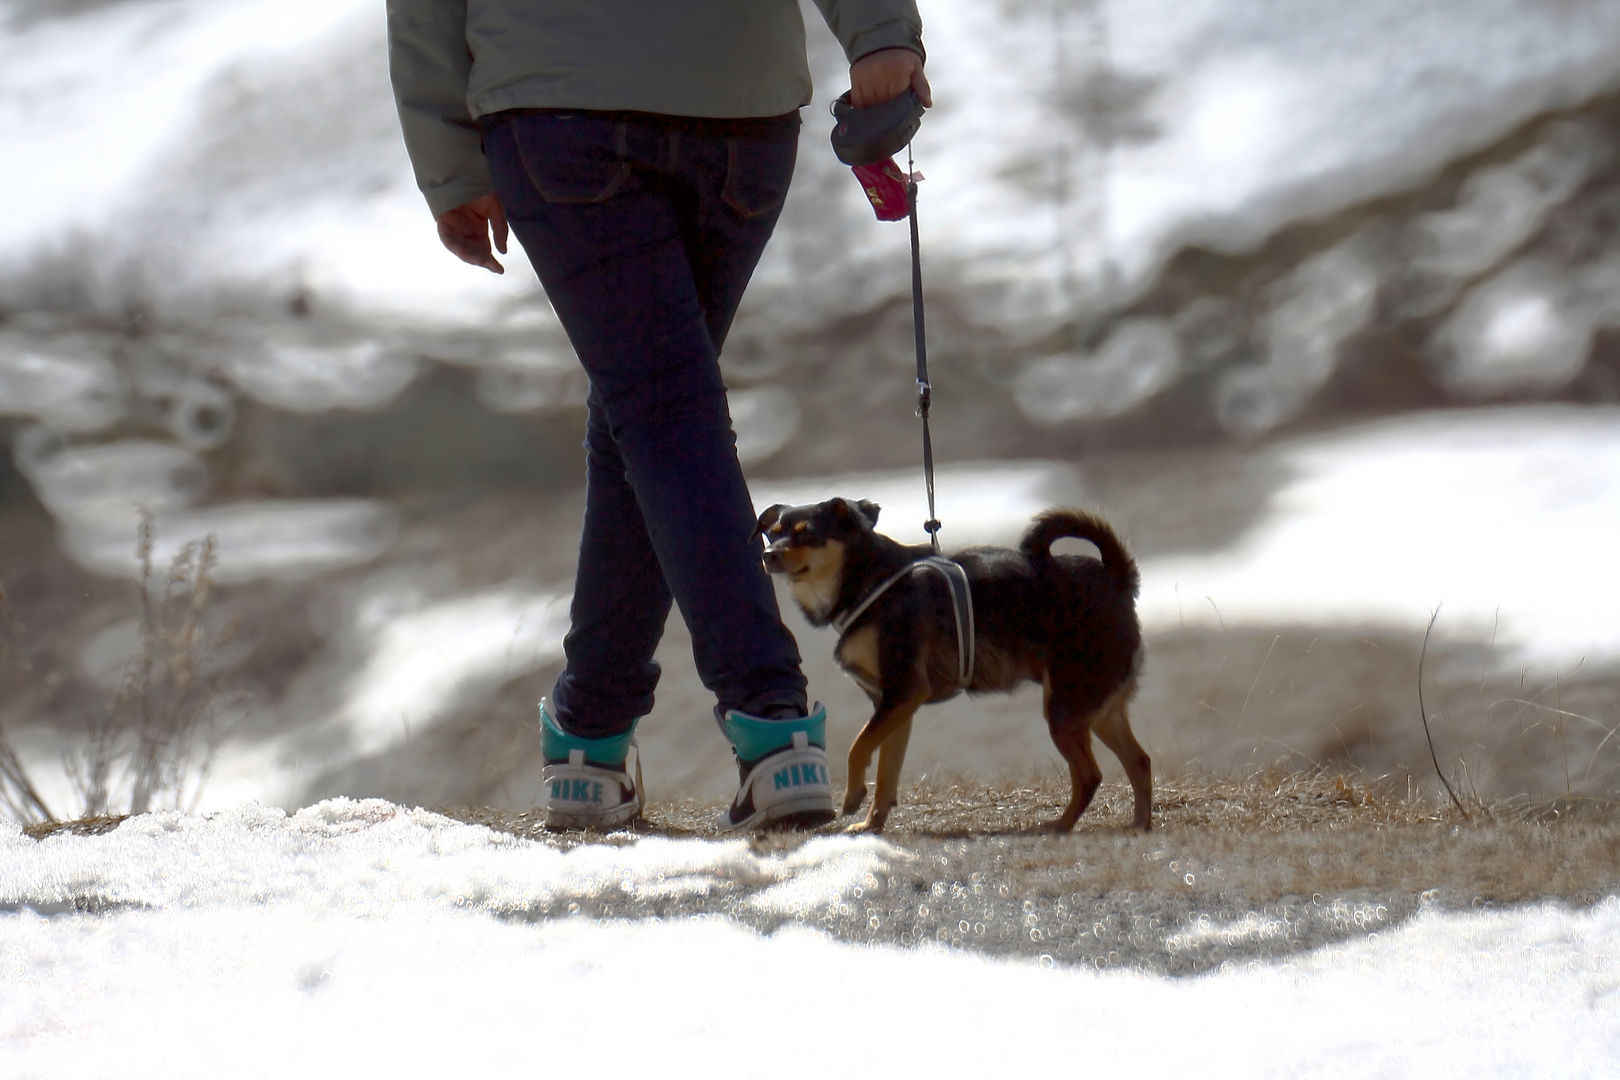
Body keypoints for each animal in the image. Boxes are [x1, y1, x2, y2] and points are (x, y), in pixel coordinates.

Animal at [758, 498, 1153, 835]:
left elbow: (858, 747)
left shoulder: (904, 691)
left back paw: (1059, 826)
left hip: (1064, 709)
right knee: (1139, 761)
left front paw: (854, 794)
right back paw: (1139, 825)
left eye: (807, 533)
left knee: (1090, 775)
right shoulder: (895, 705)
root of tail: (1117, 577)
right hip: (1096, 709)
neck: (869, 580)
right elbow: (886, 769)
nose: (767, 554)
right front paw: (873, 823)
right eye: (772, 533)